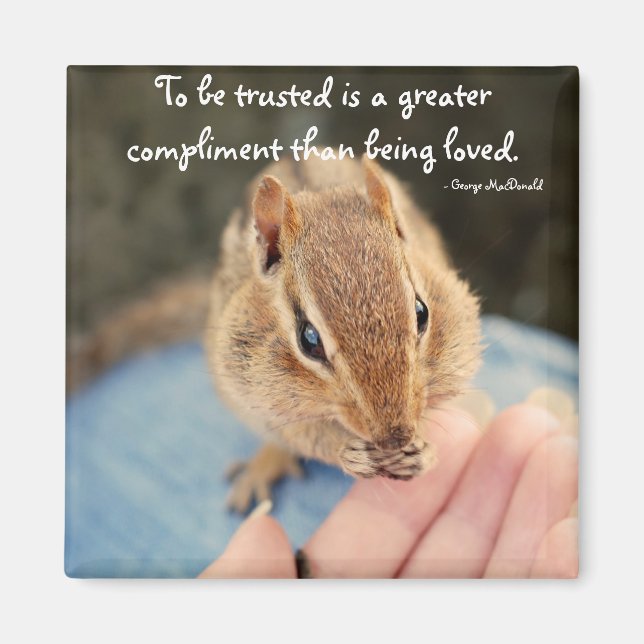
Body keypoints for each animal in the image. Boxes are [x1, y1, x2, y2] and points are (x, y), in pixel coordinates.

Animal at [206, 155, 482, 513]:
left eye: (421, 312)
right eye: (309, 339)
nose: (395, 438)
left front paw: (424, 451)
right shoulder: (252, 388)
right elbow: (301, 433)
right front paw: (348, 454)